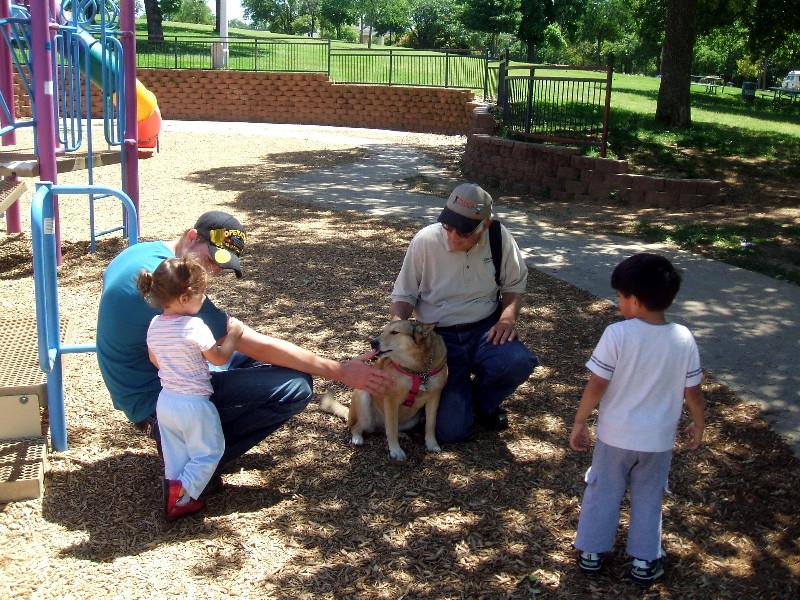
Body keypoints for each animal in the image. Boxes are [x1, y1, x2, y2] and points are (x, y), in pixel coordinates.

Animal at [320, 322, 446, 462]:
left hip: (412, 420)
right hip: (364, 398)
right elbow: (391, 429)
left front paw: (431, 444)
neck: (417, 372)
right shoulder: (391, 400)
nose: (373, 343)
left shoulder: (434, 397)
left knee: (385, 429)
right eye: (383, 331)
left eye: (394, 332)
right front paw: (395, 450)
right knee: (358, 427)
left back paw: (401, 434)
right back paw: (357, 438)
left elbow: (430, 424)